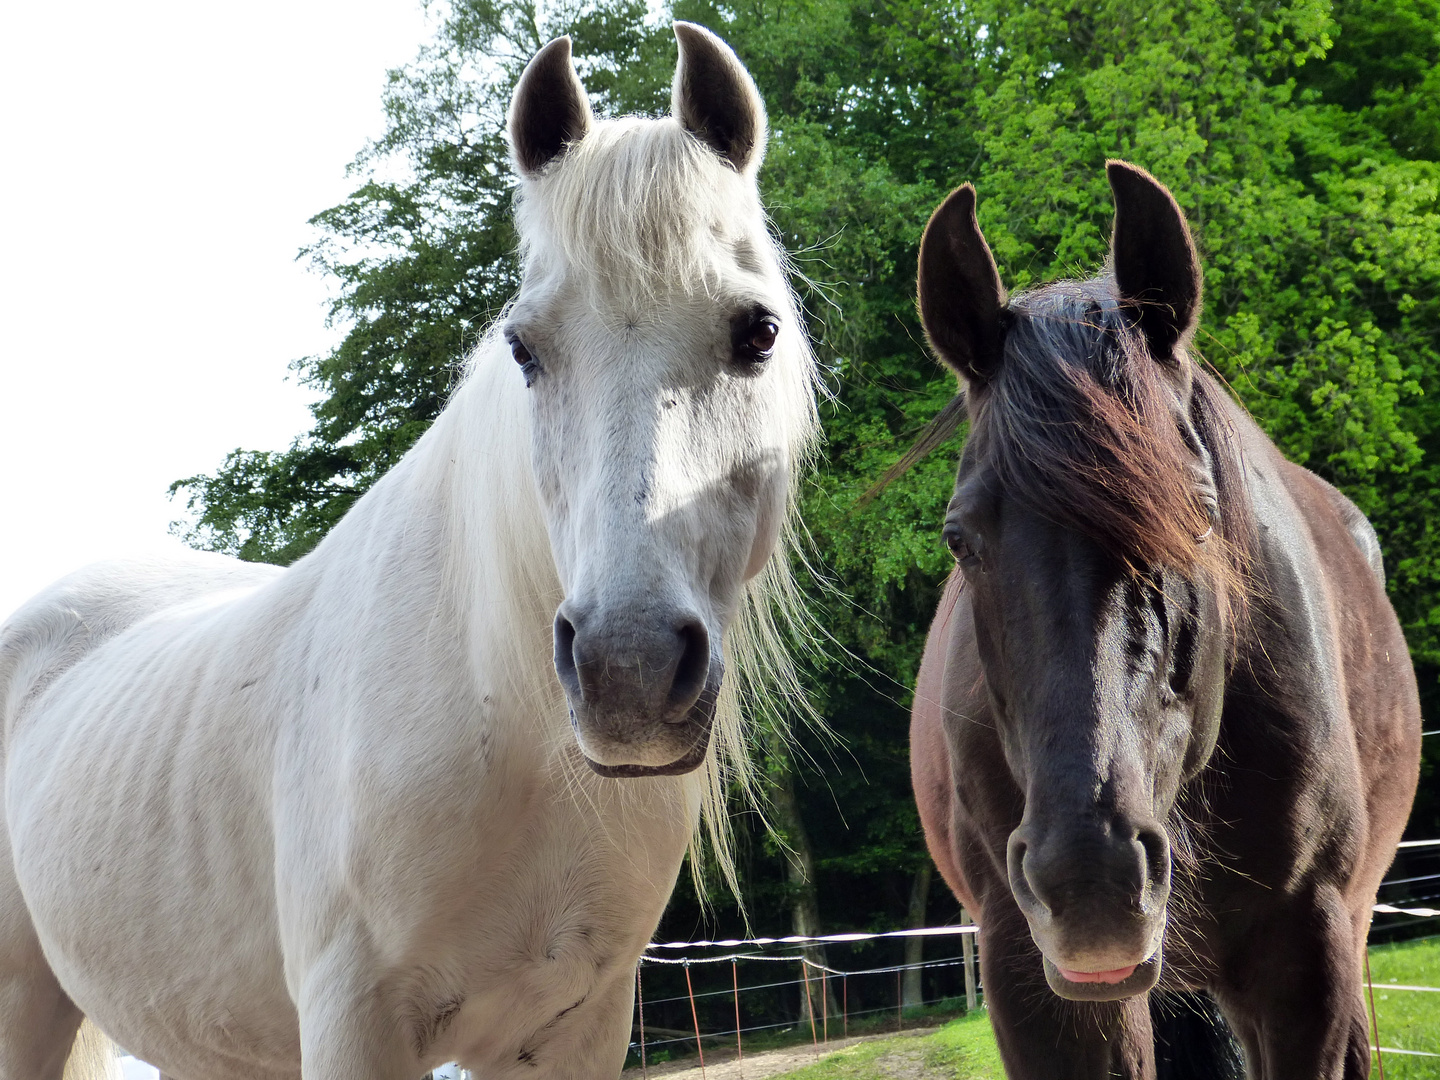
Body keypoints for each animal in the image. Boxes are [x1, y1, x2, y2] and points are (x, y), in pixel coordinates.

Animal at [0, 23, 812, 1080]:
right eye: (524, 347)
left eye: (758, 331)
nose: (626, 671)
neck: (507, 731)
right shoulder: (357, 1021)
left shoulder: (574, 1027)